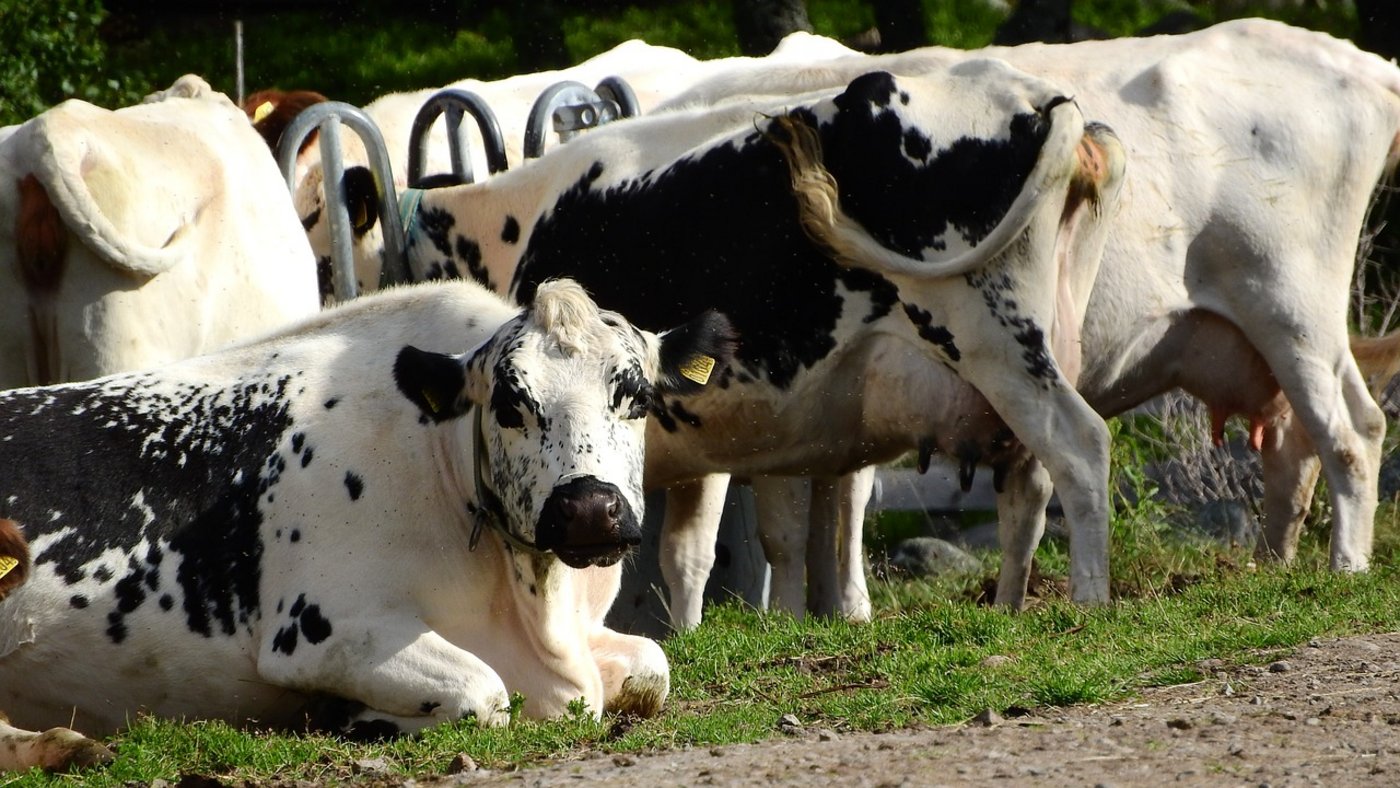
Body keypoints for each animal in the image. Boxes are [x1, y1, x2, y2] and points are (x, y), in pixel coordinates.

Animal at [0, 278, 735, 745]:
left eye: (636, 396)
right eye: (509, 403)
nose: (587, 510)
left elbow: (653, 666)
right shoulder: (322, 629)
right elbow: (484, 692)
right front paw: (349, 717)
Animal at [651, 18, 1400, 611]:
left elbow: (751, 534)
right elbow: (814, 512)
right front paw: (821, 615)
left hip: (1289, 306)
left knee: (1350, 433)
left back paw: (1345, 567)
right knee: (1297, 446)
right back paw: (1274, 567)